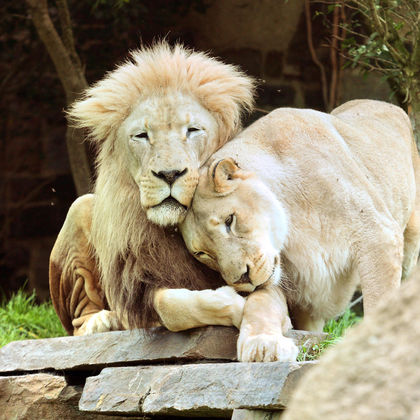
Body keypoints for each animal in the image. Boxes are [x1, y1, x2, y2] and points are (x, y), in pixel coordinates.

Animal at [48, 42, 254, 338]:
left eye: (192, 130)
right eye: (142, 135)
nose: (169, 174)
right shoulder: (141, 283)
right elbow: (170, 305)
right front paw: (236, 305)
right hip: (80, 207)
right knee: (78, 318)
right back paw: (99, 322)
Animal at [180, 99, 420, 360]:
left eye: (229, 220)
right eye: (202, 254)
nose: (242, 279)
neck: (295, 221)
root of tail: (383, 103)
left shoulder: (377, 234)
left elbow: (379, 300)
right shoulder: (287, 284)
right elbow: (260, 302)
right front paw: (262, 344)